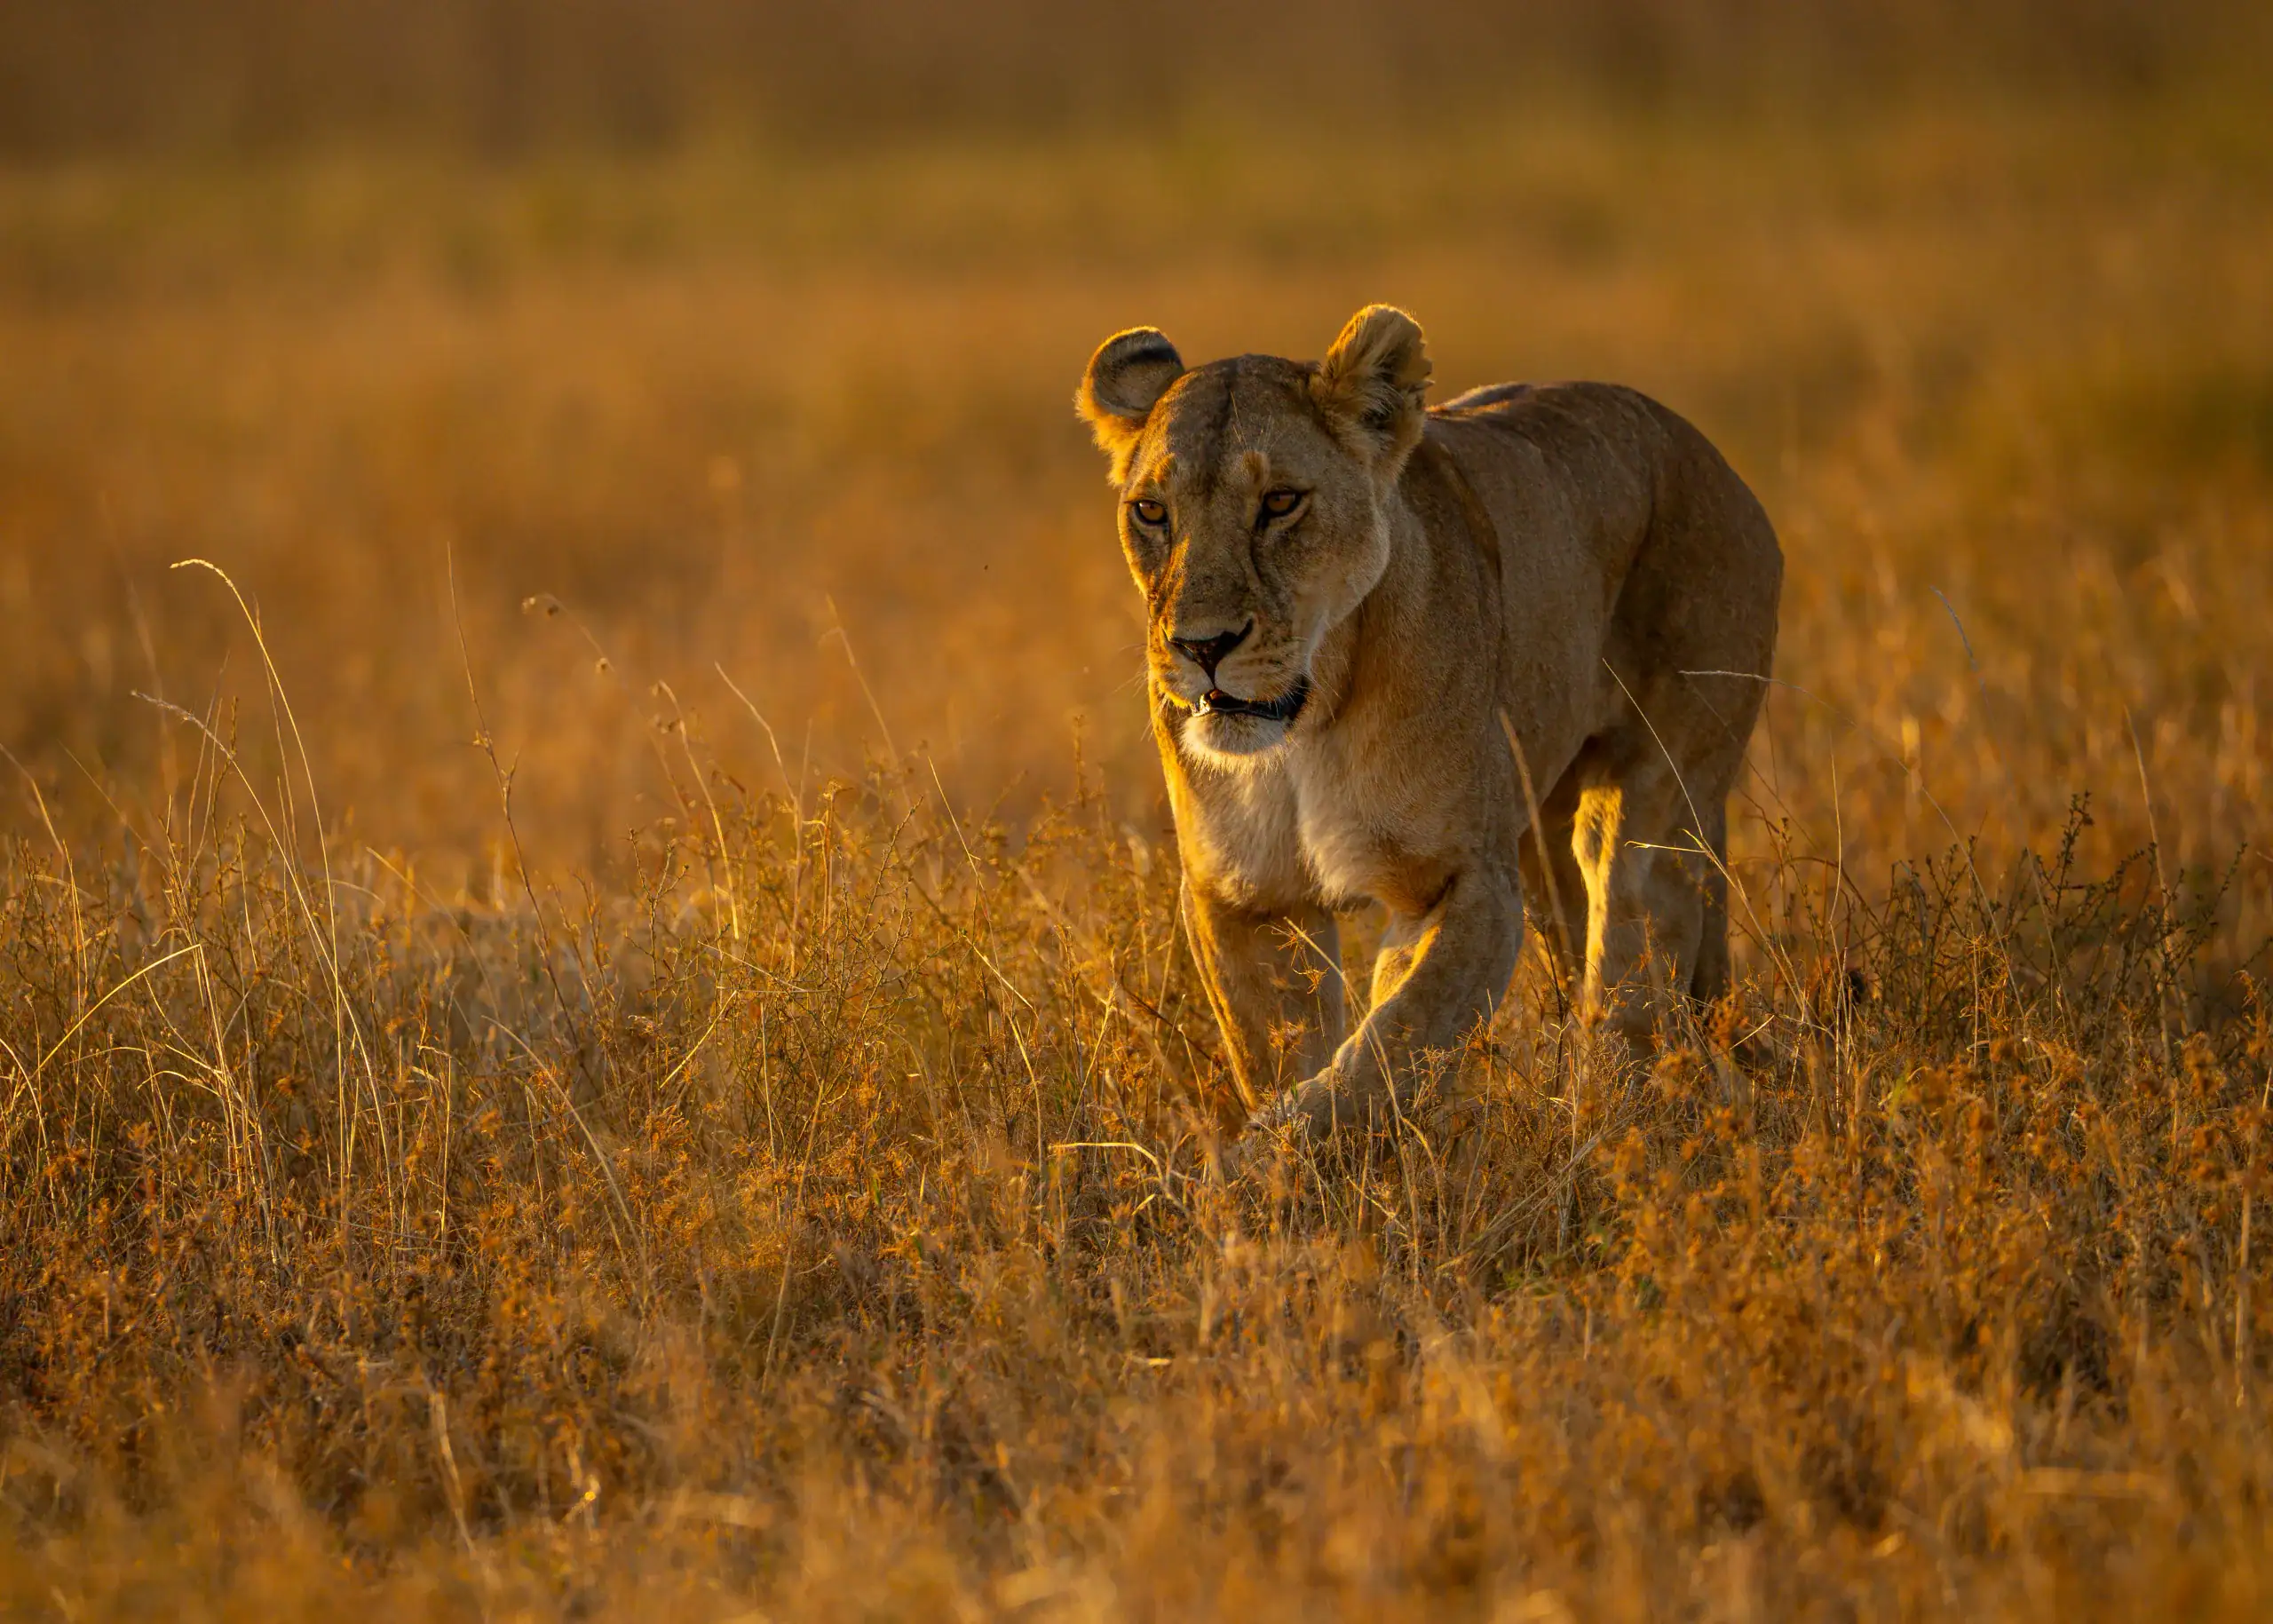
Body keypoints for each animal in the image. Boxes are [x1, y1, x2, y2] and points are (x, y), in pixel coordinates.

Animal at [1075, 304, 1782, 1142]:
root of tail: (1710, 454)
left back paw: (1616, 1117)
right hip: (1539, 844)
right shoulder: (1247, 896)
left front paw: (1262, 1157)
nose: (1202, 646)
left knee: (1633, 956)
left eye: (1280, 502)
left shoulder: (1462, 879)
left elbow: (1391, 1039)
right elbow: (1284, 1049)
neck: (1306, 729)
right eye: (1151, 511)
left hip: (1657, 797)